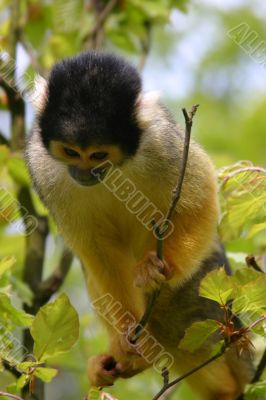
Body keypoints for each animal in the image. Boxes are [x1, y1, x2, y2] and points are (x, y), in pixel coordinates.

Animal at [26, 51, 252, 398]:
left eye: (98, 155)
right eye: (71, 152)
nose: (83, 173)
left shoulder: (161, 142)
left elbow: (200, 195)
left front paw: (160, 268)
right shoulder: (41, 163)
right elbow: (95, 248)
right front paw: (126, 335)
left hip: (211, 279)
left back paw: (227, 385)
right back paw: (133, 358)